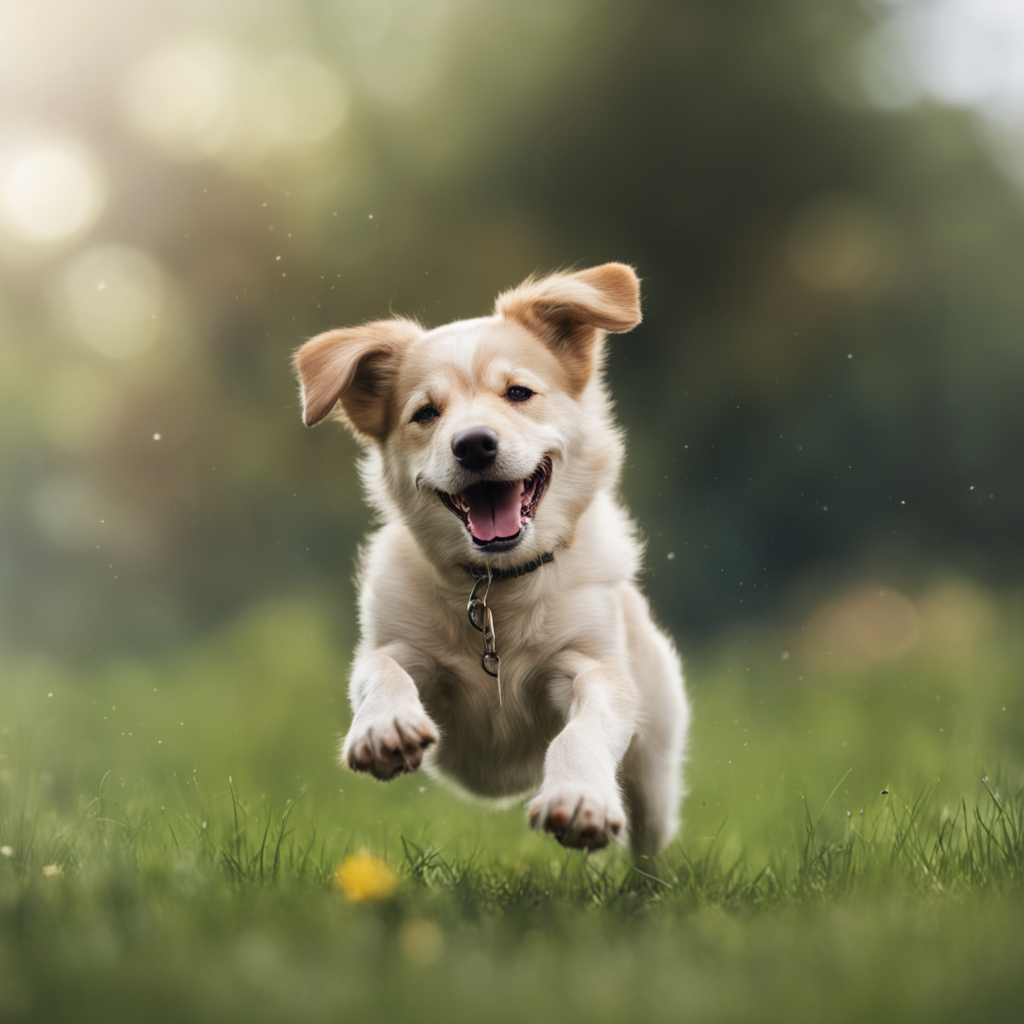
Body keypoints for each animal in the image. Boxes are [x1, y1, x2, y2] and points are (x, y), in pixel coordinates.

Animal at [292, 264, 688, 856]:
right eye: (425, 413)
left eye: (518, 392)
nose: (474, 444)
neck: (495, 585)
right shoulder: (403, 647)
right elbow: (381, 670)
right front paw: (385, 727)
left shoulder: (592, 664)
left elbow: (586, 724)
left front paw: (580, 798)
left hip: (655, 769)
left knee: (648, 843)